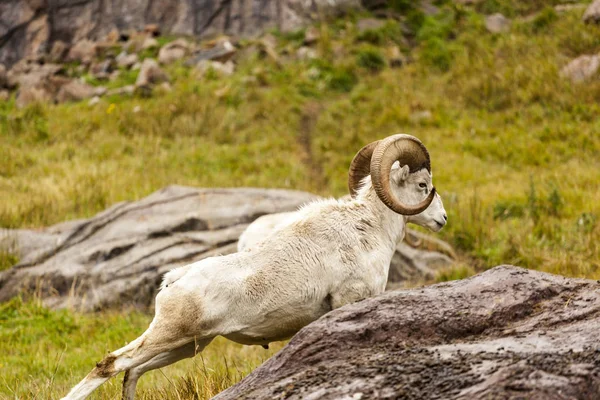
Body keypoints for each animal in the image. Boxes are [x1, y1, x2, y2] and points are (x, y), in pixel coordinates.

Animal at [63, 134, 446, 400]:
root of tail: (173, 282)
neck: (368, 230)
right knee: (111, 365)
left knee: (132, 373)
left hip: (185, 346)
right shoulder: (346, 301)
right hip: (167, 337)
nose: (442, 219)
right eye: (423, 185)